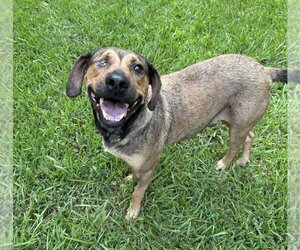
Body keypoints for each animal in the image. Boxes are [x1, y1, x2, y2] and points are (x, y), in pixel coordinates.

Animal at [66, 47, 300, 219]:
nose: (117, 82)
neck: (127, 124)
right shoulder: (138, 162)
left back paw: (224, 164)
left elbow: (137, 193)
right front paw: (130, 178)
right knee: (250, 137)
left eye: (138, 68)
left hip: (238, 127)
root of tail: (264, 70)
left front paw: (133, 212)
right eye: (102, 62)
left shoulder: (149, 169)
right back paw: (243, 161)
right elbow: (133, 173)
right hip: (234, 122)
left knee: (234, 146)